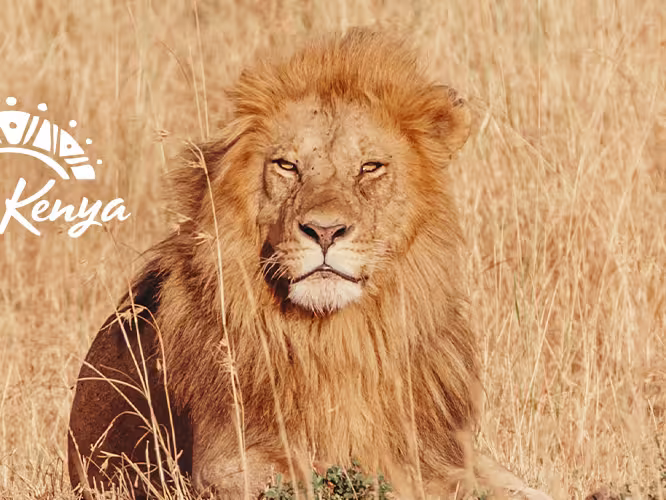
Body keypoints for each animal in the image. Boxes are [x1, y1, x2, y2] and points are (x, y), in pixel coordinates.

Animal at [68, 28, 549, 499]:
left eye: (370, 167)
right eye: (287, 165)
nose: (324, 231)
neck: (339, 341)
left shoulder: (443, 454)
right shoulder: (225, 463)